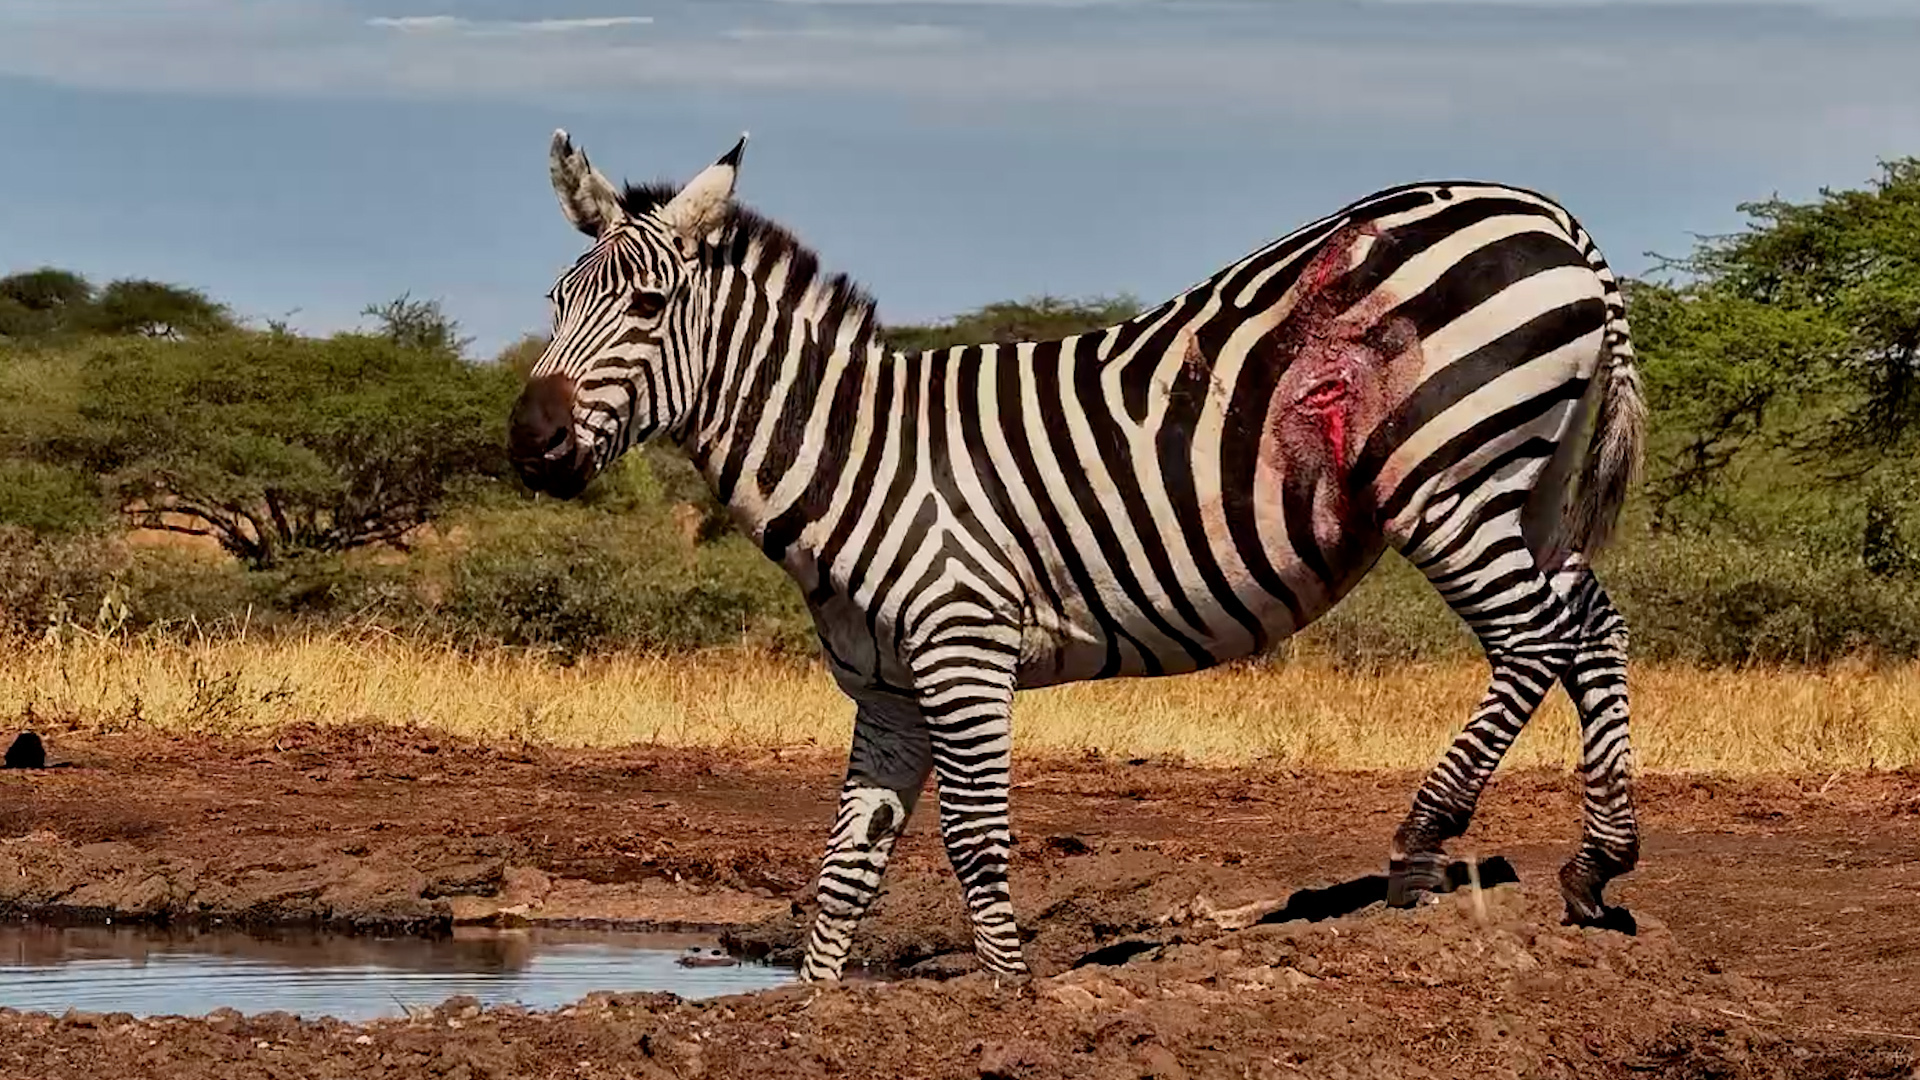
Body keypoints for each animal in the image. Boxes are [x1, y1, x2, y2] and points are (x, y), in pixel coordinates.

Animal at [510, 131, 1646, 982]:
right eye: (555, 304)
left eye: (649, 307)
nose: (528, 442)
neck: (858, 456)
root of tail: (1551, 217)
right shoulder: (890, 688)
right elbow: (846, 868)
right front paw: (819, 1010)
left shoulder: (964, 651)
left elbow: (974, 842)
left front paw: (1012, 998)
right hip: (1528, 477)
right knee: (1591, 620)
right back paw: (1597, 866)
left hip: (1447, 472)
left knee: (1533, 639)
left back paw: (1422, 844)